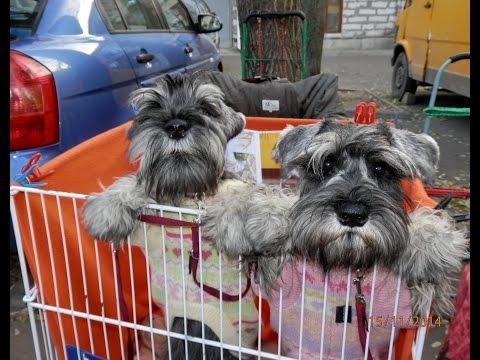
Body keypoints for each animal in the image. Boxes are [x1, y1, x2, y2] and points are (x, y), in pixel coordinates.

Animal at [82, 74, 246, 358]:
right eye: (154, 106)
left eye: (206, 107)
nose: (176, 127)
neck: (188, 195)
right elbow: (138, 183)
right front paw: (107, 209)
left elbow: (238, 193)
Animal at [206, 121, 468, 318]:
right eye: (327, 164)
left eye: (380, 168)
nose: (352, 214)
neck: (346, 265)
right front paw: (258, 216)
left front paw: (431, 242)